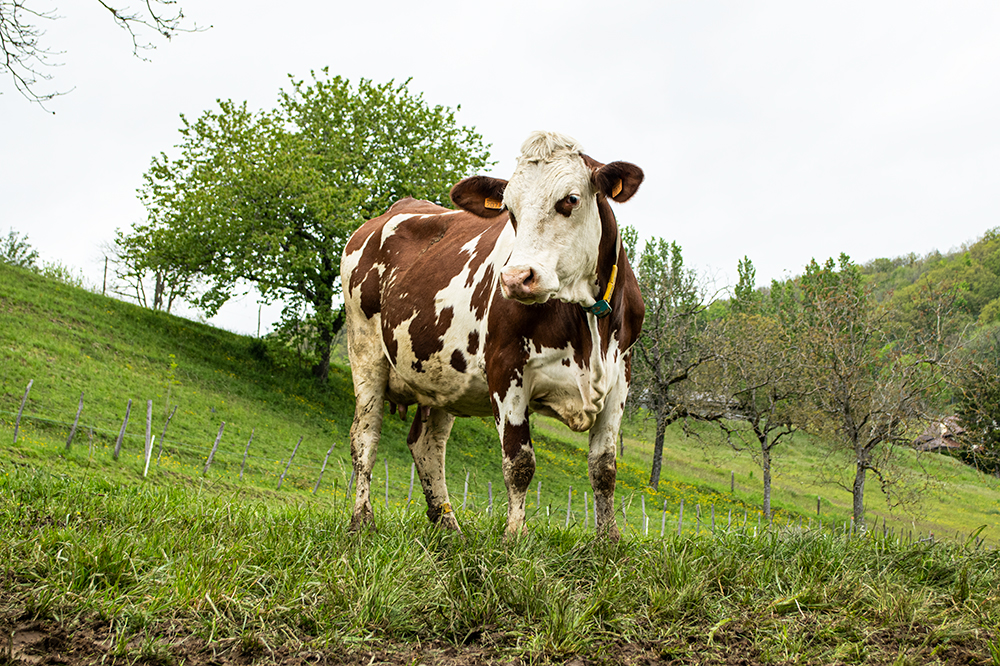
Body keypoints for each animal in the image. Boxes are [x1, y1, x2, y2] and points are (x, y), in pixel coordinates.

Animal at [340, 131, 644, 540]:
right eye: (509, 211)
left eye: (570, 199)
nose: (515, 278)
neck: (587, 323)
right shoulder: (506, 369)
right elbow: (519, 463)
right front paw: (514, 538)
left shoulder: (620, 377)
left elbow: (604, 468)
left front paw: (608, 542)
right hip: (365, 351)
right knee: (365, 437)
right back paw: (362, 521)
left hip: (442, 377)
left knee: (427, 445)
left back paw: (448, 527)